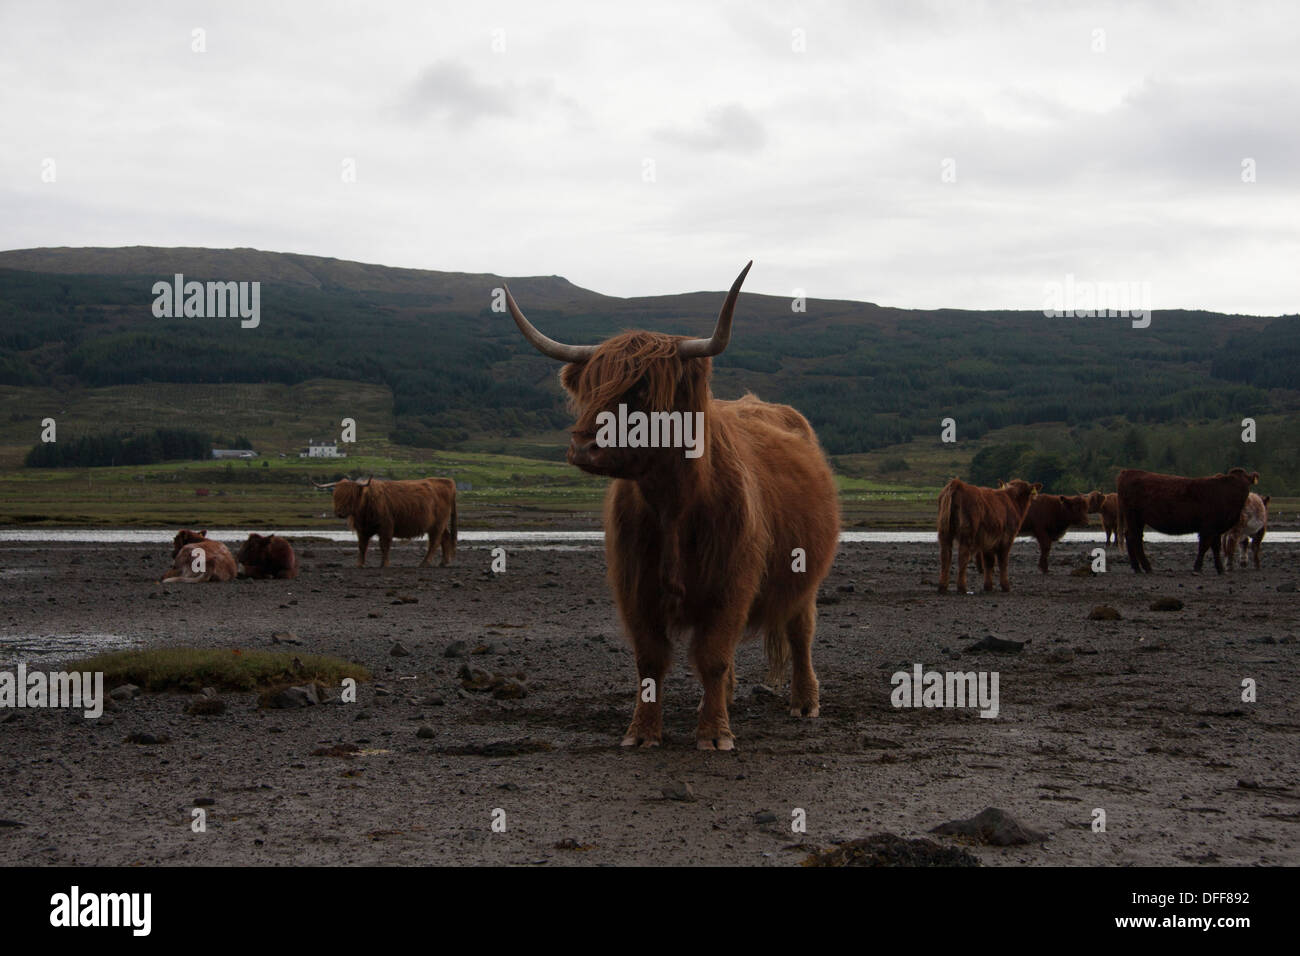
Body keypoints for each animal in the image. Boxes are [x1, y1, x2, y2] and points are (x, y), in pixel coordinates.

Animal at [313, 477, 457, 568]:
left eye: (351, 496)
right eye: (336, 495)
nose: (340, 512)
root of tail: (446, 481)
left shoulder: (386, 527)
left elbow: (384, 545)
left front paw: (384, 564)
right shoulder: (362, 529)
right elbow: (362, 546)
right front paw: (359, 564)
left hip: (437, 524)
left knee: (434, 542)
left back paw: (424, 563)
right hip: (441, 524)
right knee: (445, 538)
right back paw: (444, 562)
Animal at [504, 261, 839, 751]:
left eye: (642, 390)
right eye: (592, 386)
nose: (583, 446)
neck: (673, 502)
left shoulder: (733, 580)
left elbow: (714, 655)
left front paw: (715, 735)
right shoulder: (634, 585)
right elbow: (651, 660)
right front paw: (642, 732)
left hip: (803, 575)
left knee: (801, 632)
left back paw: (804, 701)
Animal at [1116, 467, 1259, 573]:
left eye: (1246, 483)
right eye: (1233, 482)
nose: (1241, 494)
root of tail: (1129, 472)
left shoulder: (1217, 529)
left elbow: (1216, 547)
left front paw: (1220, 569)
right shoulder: (1208, 527)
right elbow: (1204, 546)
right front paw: (1197, 568)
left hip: (1138, 519)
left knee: (1131, 537)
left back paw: (1137, 567)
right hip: (1133, 516)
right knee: (1135, 538)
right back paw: (1146, 567)